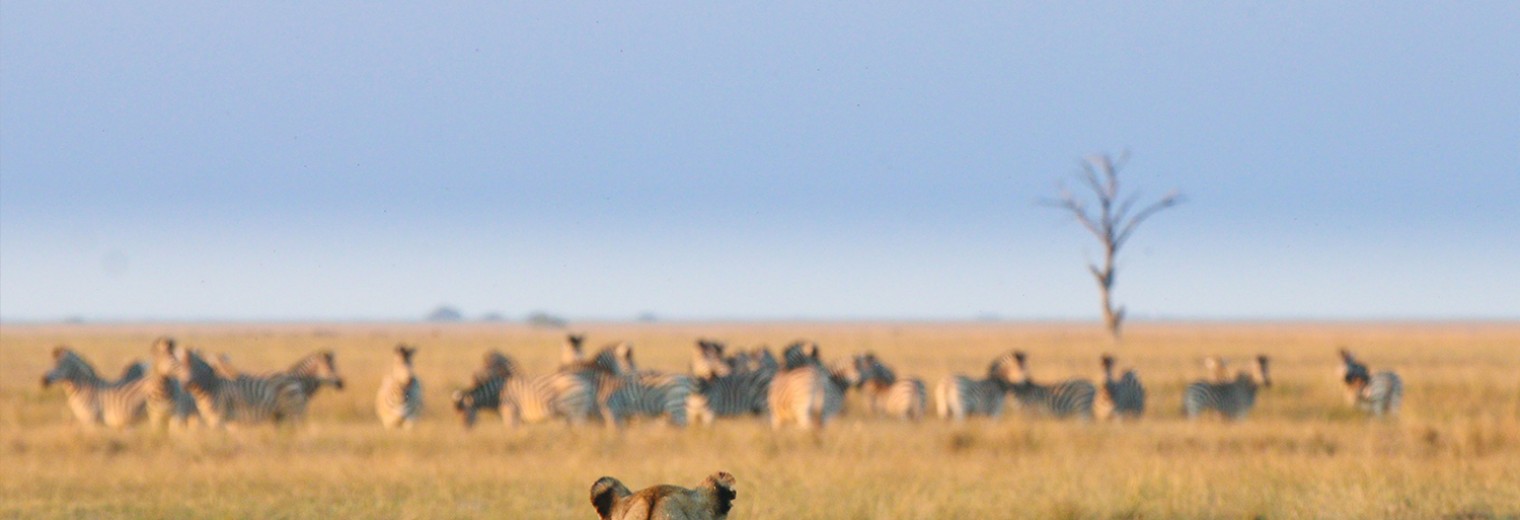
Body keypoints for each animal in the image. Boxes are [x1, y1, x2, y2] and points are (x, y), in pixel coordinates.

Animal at [153, 337, 308, 425]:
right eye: (177, 366)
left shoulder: (218, 418)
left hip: (293, 412)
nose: (186, 384)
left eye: (195, 367)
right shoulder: (214, 419)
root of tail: (292, 379)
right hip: (280, 415)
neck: (209, 388)